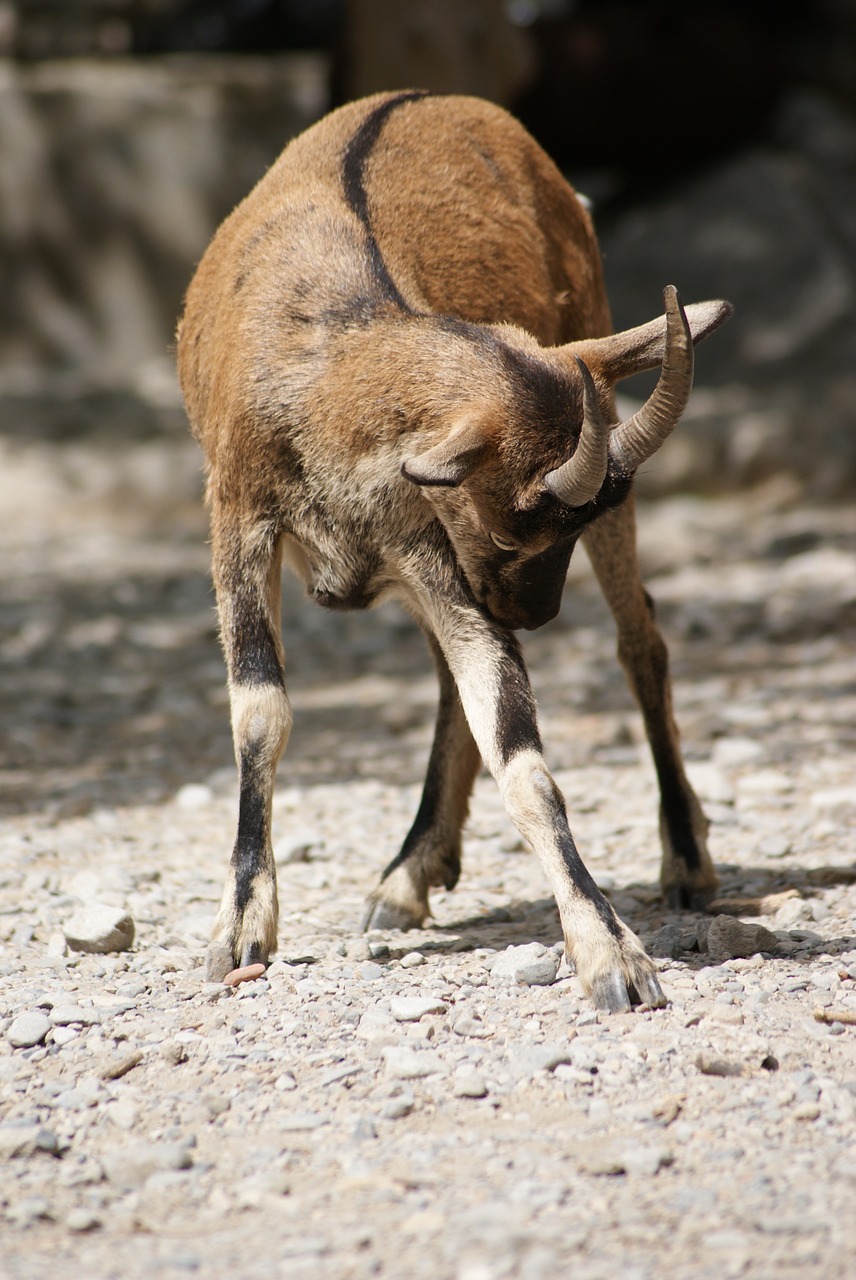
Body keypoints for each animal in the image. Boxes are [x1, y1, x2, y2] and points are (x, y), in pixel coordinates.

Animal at [179, 90, 726, 1008]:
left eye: (563, 526)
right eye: (513, 522)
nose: (533, 616)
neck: (331, 362)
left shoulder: (430, 547)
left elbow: (518, 746)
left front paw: (612, 957)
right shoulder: (241, 517)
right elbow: (261, 713)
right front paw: (240, 931)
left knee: (639, 640)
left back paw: (685, 860)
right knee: (455, 678)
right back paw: (409, 874)